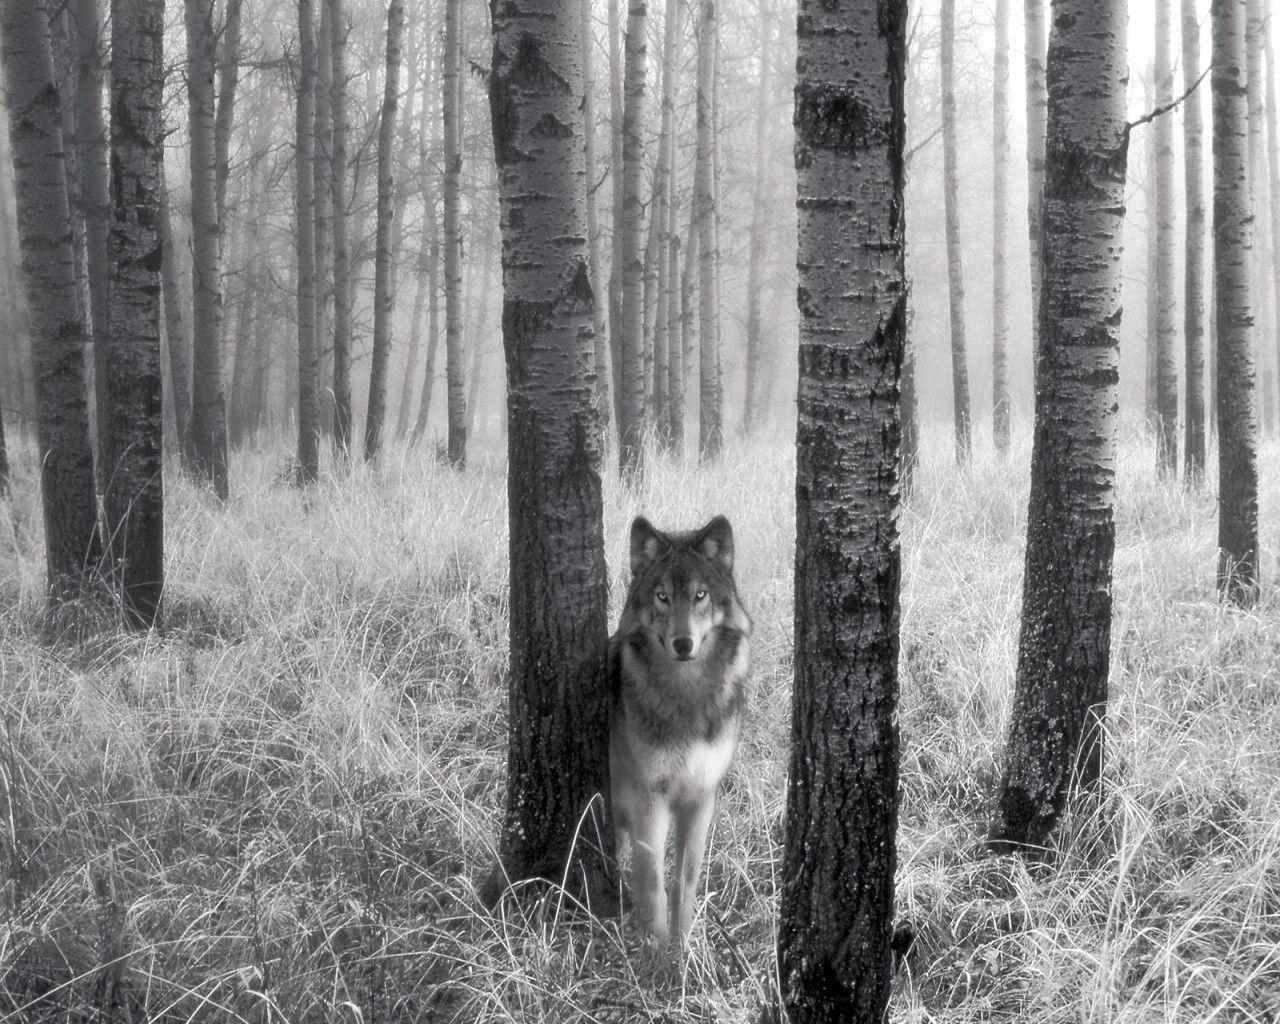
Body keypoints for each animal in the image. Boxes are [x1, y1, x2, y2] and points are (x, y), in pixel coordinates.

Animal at [609, 514, 752, 943]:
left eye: (700, 595)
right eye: (662, 597)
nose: (683, 643)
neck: (687, 696)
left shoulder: (701, 797)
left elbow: (685, 880)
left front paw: (683, 944)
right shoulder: (649, 798)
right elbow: (653, 882)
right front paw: (655, 950)